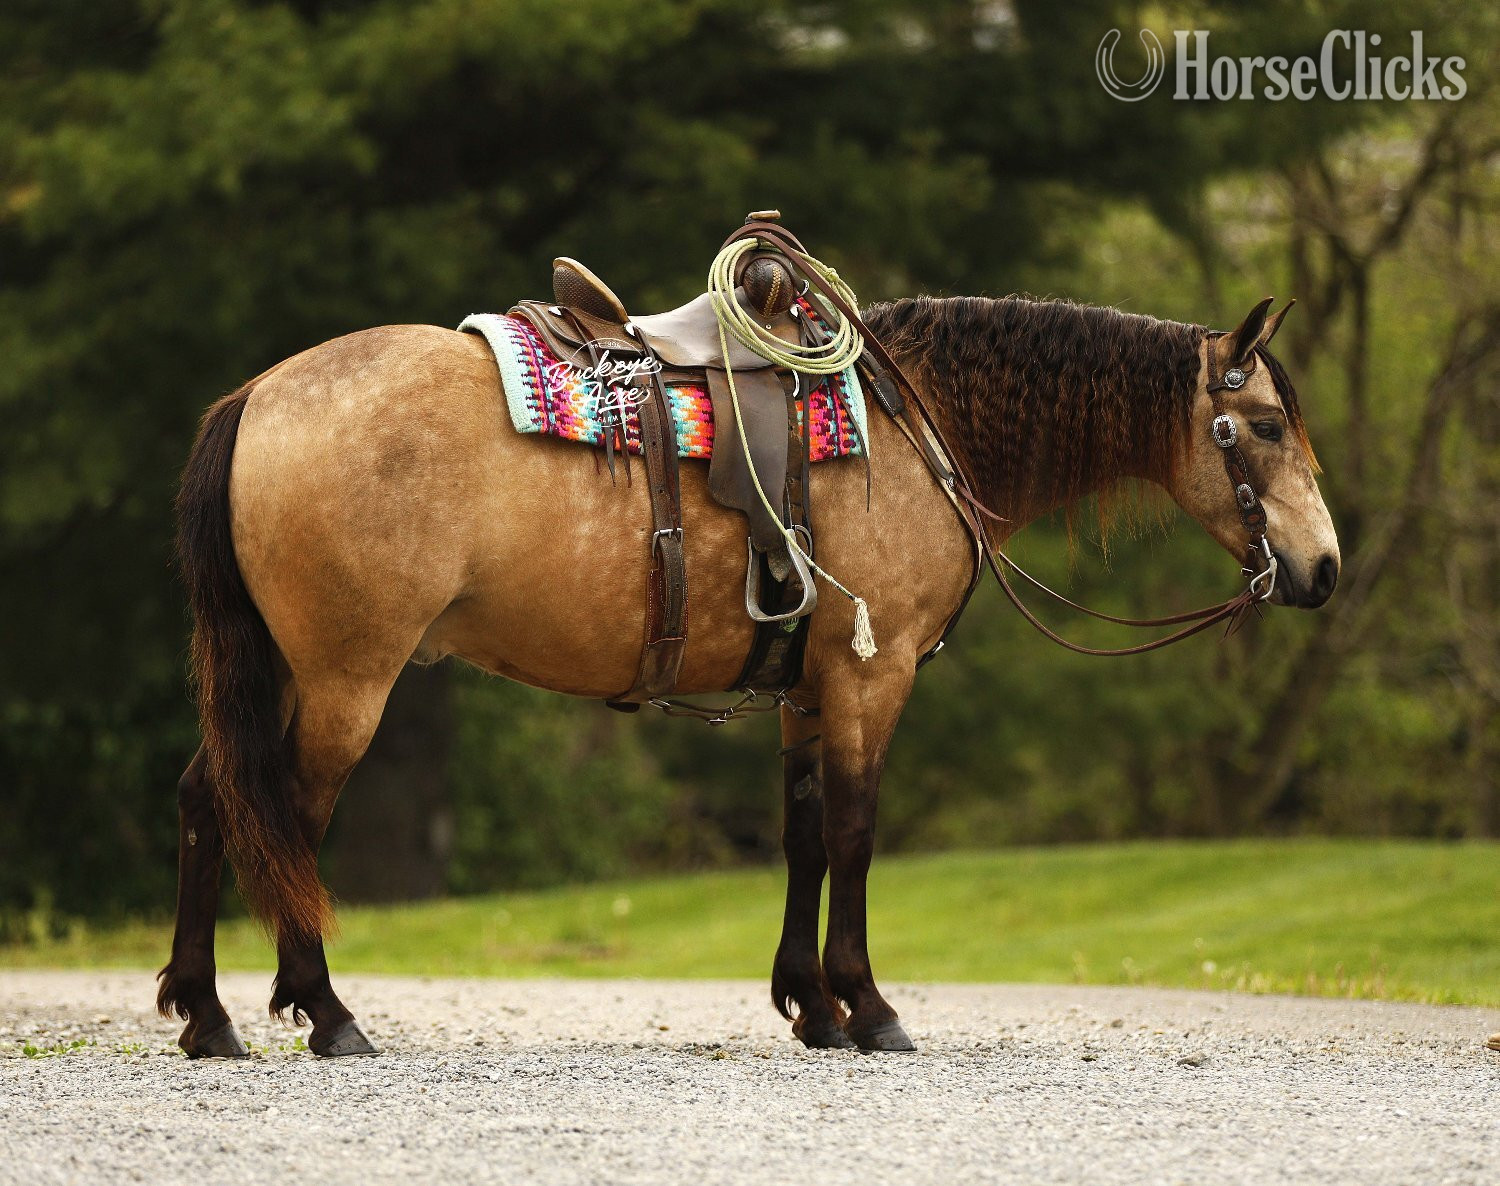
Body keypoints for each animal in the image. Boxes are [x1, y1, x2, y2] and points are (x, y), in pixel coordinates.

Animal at [157, 291, 1338, 1058]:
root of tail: (259, 395)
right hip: (346, 676)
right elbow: (856, 834)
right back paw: (326, 1012)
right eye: (1264, 426)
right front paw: (870, 1007)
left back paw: (206, 1014)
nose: (1323, 568)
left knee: (208, 799)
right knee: (283, 813)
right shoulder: (873, 677)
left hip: (283, 672)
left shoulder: (809, 690)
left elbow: (806, 835)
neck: (914, 428)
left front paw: (811, 1006)